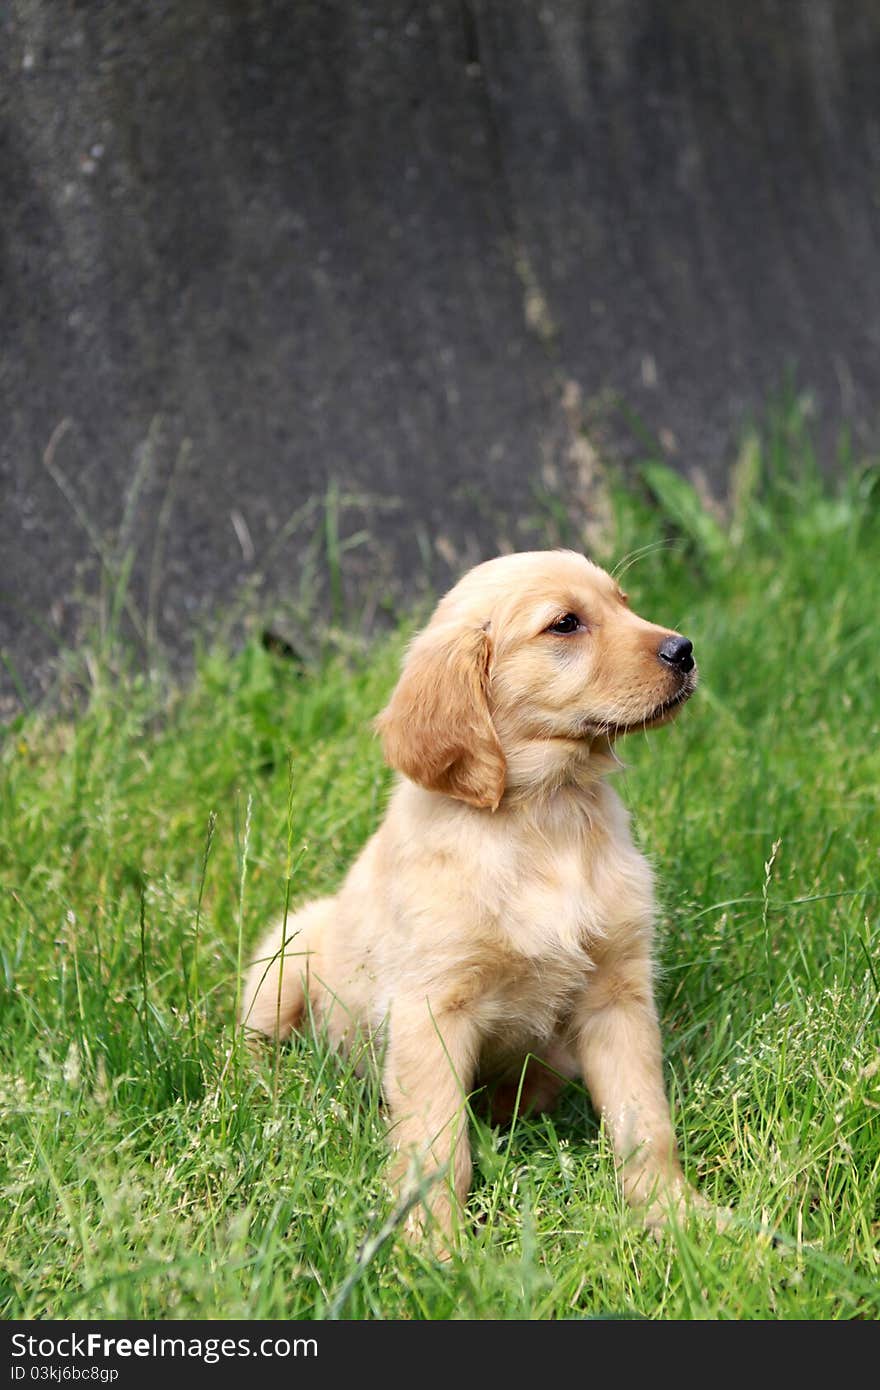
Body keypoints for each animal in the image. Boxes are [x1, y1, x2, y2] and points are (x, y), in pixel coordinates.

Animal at [241, 547, 706, 1245]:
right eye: (565, 624)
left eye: (624, 602)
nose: (684, 649)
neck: (545, 818)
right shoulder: (432, 1008)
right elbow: (437, 1147)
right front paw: (434, 1246)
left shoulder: (617, 993)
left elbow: (644, 1123)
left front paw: (676, 1216)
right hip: (287, 953)